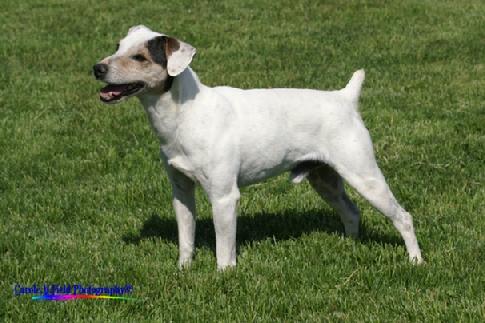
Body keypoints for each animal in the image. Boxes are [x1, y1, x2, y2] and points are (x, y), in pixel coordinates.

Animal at [93, 25, 420, 270]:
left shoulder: (224, 197)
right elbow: (186, 237)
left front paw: (223, 275)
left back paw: (415, 260)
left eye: (139, 57)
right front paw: (183, 269)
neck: (187, 113)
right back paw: (349, 246)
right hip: (324, 179)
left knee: (403, 217)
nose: (97, 68)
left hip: (364, 175)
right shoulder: (181, 191)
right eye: (118, 46)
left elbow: (224, 248)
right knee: (351, 212)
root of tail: (345, 98)